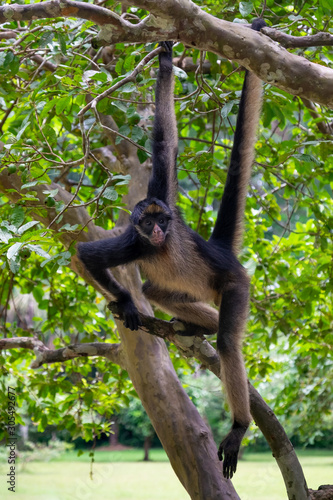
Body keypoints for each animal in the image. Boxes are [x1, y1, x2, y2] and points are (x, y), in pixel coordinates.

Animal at [78, 19, 264, 478]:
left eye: (163, 219)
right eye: (147, 222)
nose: (161, 231)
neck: (157, 248)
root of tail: (221, 252)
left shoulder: (160, 197)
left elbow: (165, 144)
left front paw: (164, 63)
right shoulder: (135, 245)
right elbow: (88, 256)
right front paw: (126, 304)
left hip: (235, 282)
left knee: (229, 342)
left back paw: (239, 424)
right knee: (157, 291)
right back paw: (199, 326)